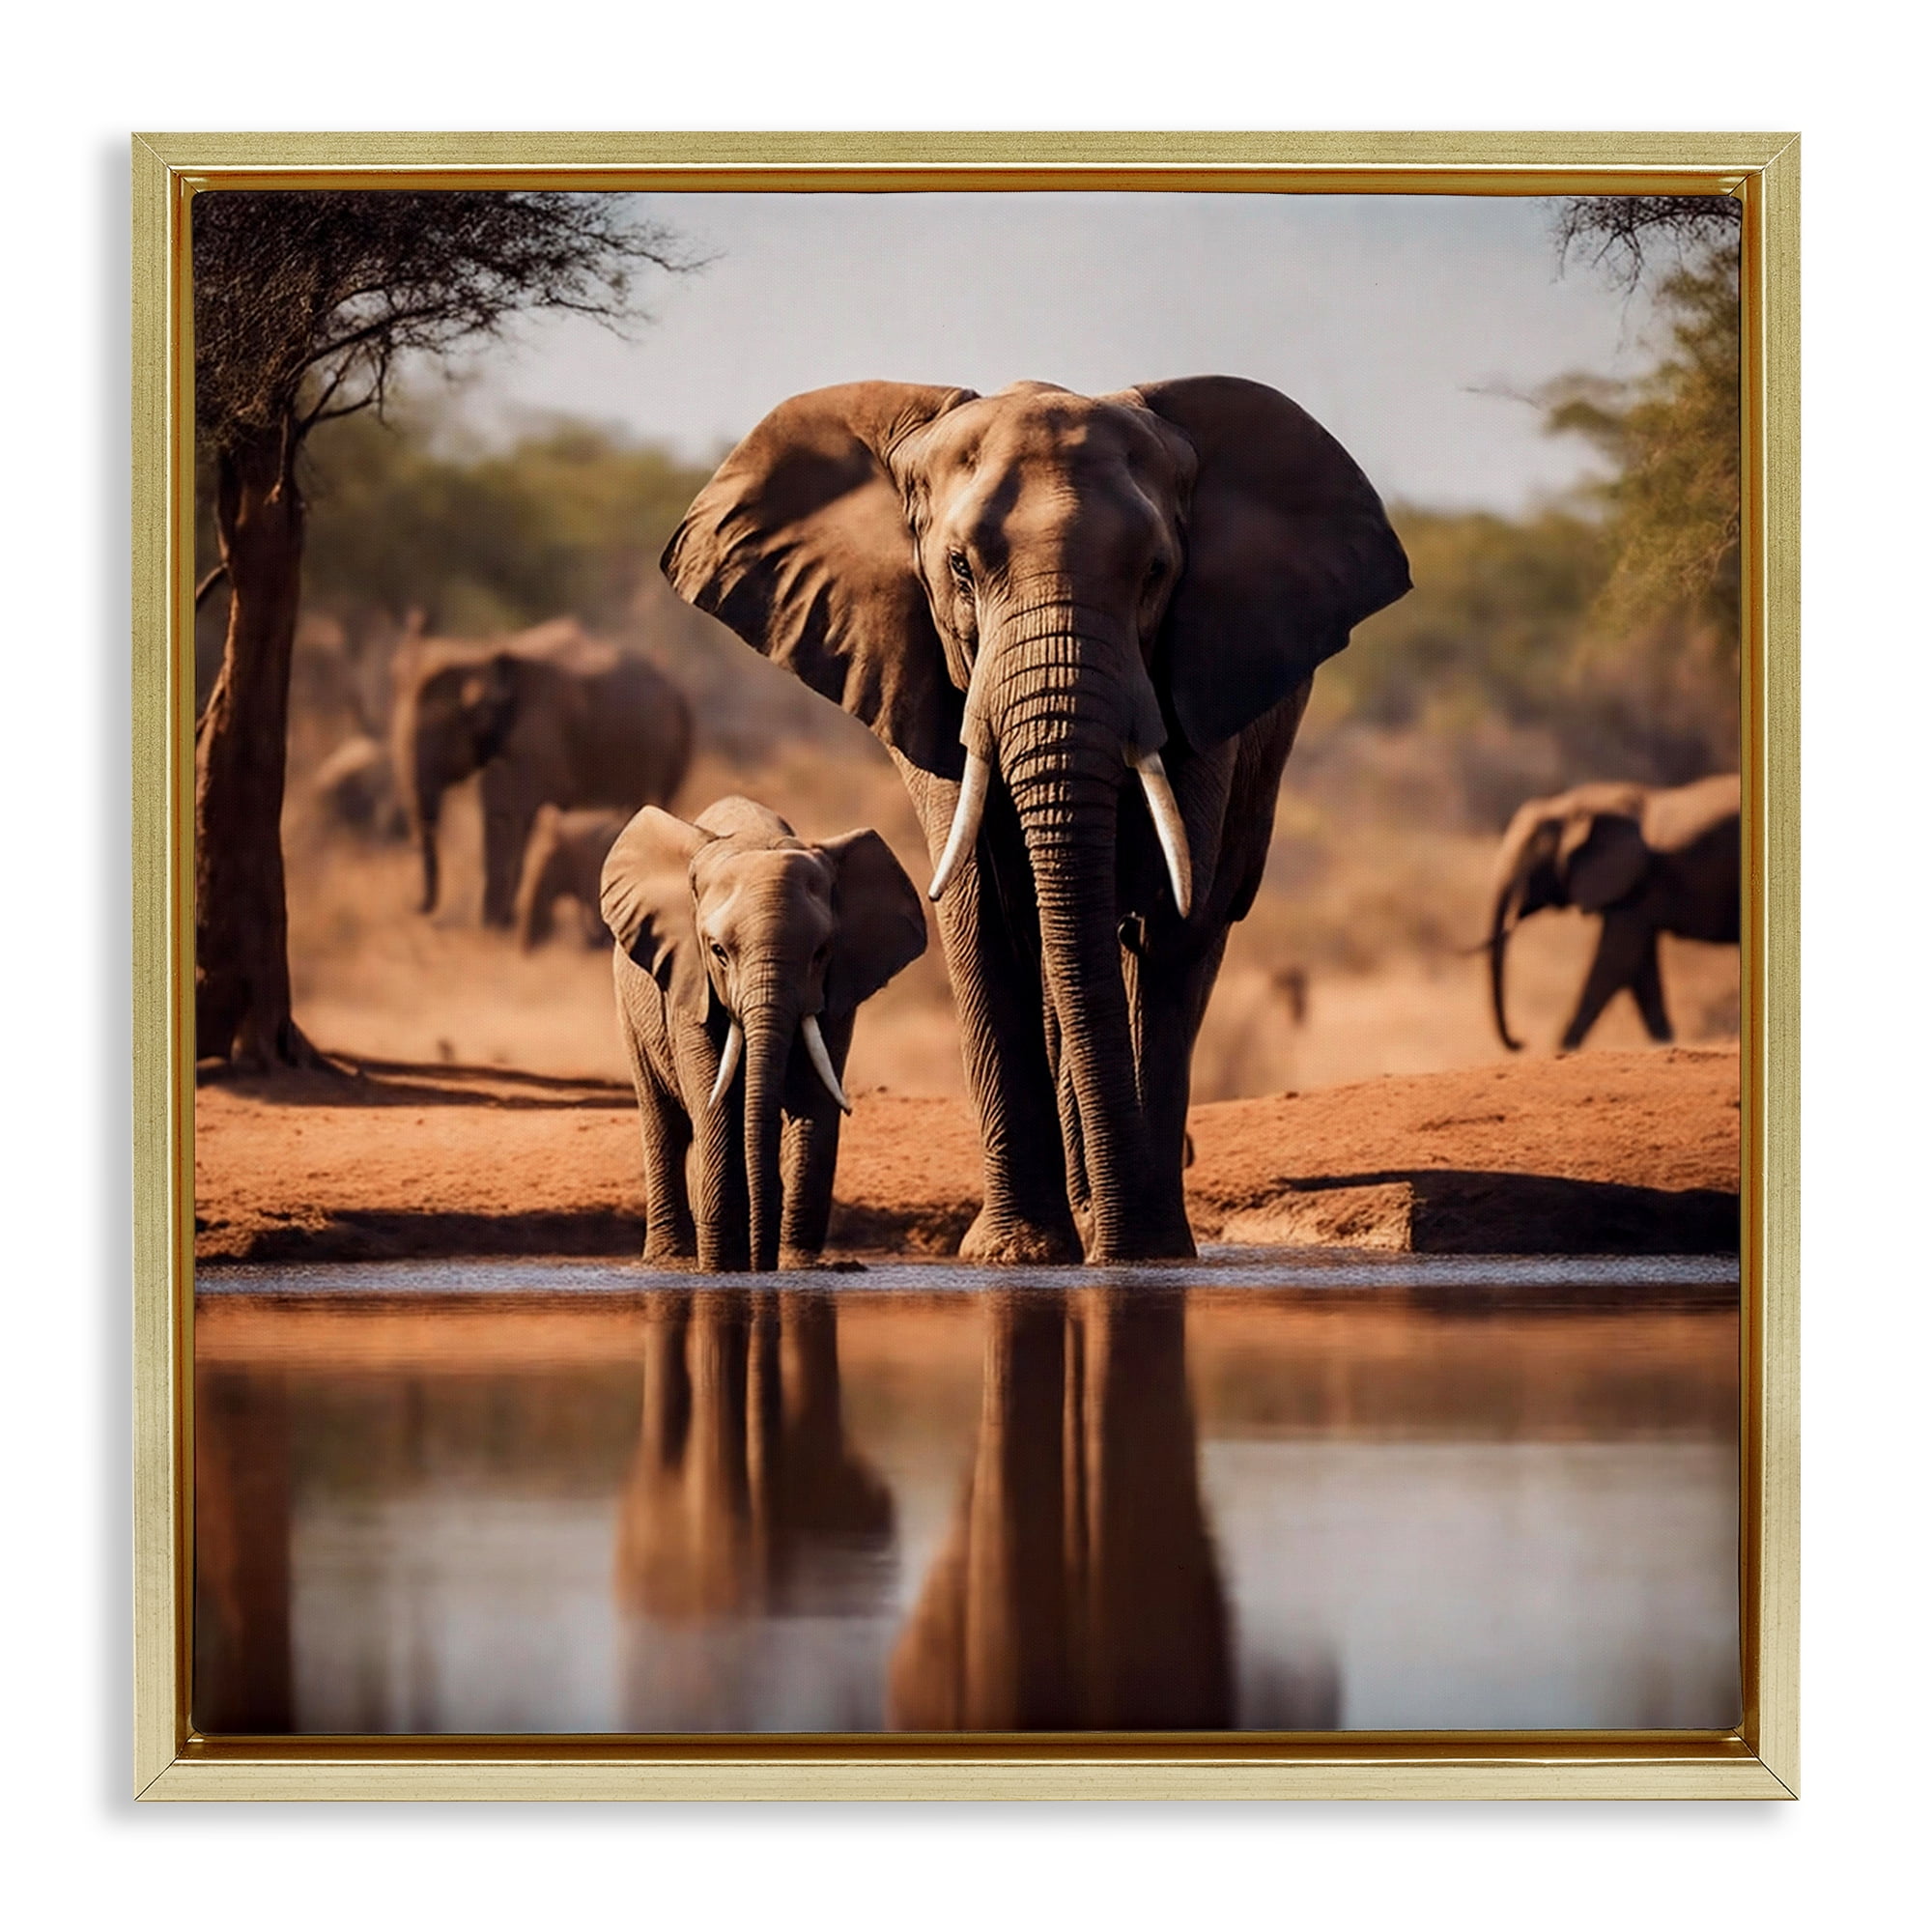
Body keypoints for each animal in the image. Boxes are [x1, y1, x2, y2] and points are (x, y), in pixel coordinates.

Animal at [396, 620, 692, 928]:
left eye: (441, 730)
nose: (415, 909)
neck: (480, 657)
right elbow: (496, 815)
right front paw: (491, 924)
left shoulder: (540, 739)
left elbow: (521, 814)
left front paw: (503, 922)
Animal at [601, 795, 928, 1272]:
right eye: (718, 951)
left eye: (821, 952)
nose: (761, 1262)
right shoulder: (689, 977)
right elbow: (714, 1100)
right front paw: (722, 1267)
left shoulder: (838, 988)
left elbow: (814, 1097)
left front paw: (798, 1267)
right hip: (631, 1007)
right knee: (664, 1122)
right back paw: (671, 1261)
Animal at [662, 377, 1409, 1263]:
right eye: (959, 567)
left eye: (1157, 572)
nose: (1116, 1244)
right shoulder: (930, 682)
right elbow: (982, 911)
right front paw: (1019, 1254)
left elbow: (1168, 919)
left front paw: (1147, 1251)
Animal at [1487, 773, 1740, 1052]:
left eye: (1529, 864)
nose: (1521, 1042)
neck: (1573, 804)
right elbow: (1639, 967)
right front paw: (1665, 1044)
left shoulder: (1632, 882)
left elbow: (1615, 960)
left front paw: (1562, 1049)